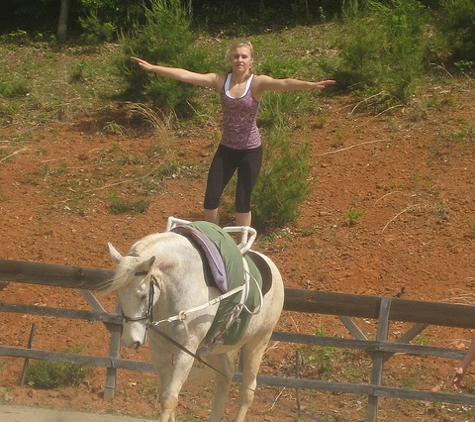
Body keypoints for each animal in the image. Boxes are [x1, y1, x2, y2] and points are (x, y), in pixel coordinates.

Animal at [107, 223, 284, 420]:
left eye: (143, 295)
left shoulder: (187, 348)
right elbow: (165, 394)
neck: (182, 280)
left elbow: (169, 399)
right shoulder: (159, 347)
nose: (131, 341)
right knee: (225, 376)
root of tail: (271, 266)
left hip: (258, 342)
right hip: (215, 347)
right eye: (118, 294)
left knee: (248, 391)